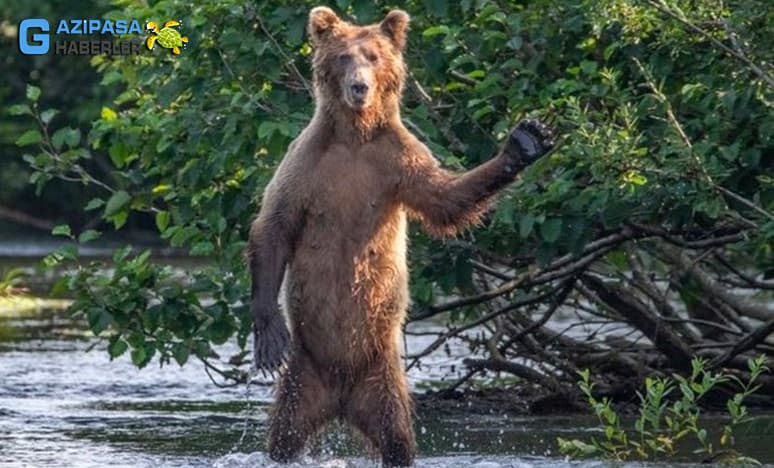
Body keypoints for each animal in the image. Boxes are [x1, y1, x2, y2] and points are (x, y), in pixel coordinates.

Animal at [249, 5, 556, 466]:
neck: (354, 137)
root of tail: (340, 397)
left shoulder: (396, 161)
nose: (359, 86)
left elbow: (443, 199)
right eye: (343, 56)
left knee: (396, 437)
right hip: (305, 373)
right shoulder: (306, 164)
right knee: (285, 435)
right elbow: (274, 226)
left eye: (374, 56)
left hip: (382, 378)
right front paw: (269, 337)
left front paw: (525, 141)